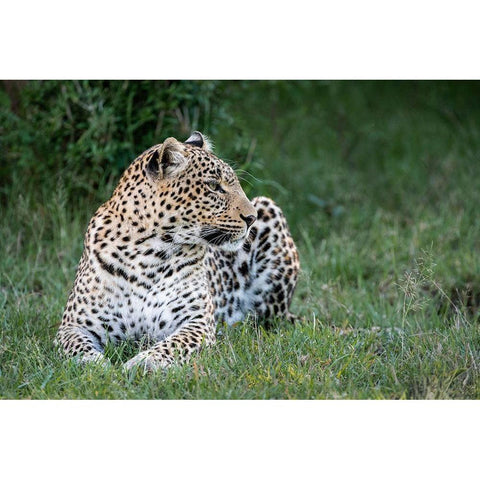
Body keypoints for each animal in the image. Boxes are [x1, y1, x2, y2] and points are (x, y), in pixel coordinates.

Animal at [54, 131, 298, 372]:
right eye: (213, 186)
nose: (251, 218)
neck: (145, 253)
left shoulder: (196, 322)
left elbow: (173, 345)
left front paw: (144, 363)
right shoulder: (73, 324)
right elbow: (76, 347)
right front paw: (94, 365)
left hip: (270, 214)